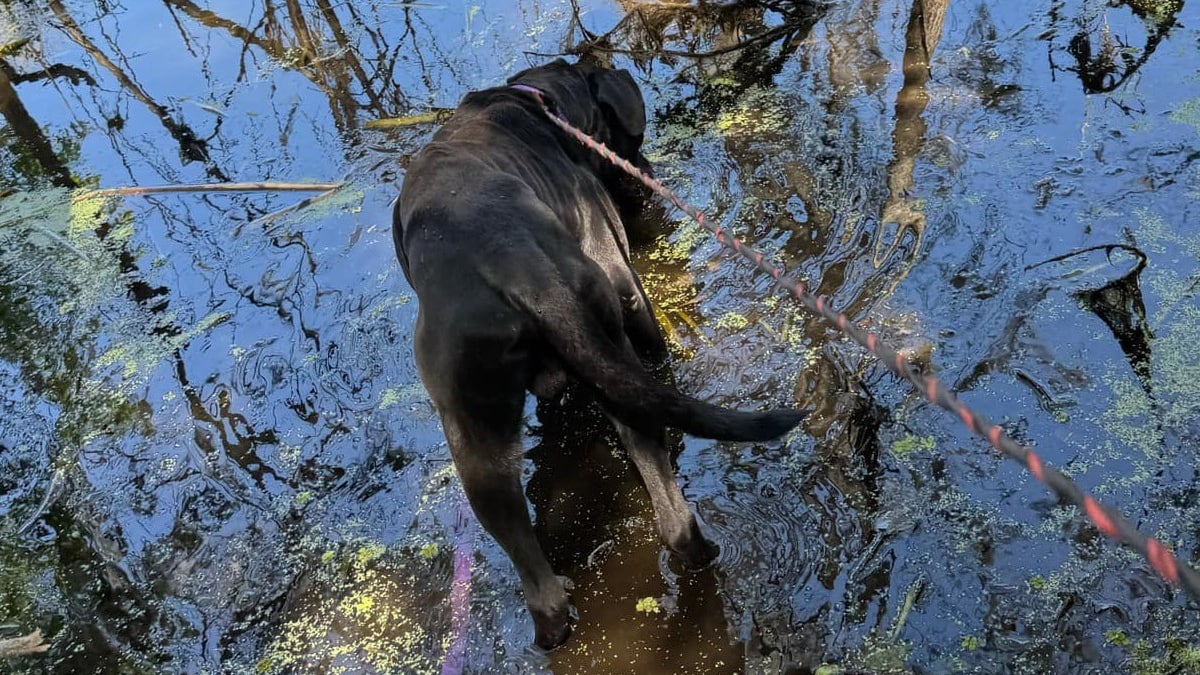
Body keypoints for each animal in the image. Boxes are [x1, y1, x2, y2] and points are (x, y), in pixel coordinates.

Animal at [393, 60, 806, 648]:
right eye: (633, 138)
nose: (645, 173)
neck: (537, 102)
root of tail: (516, 264)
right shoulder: (627, 281)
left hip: (477, 444)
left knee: (543, 583)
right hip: (612, 326)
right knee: (669, 502)